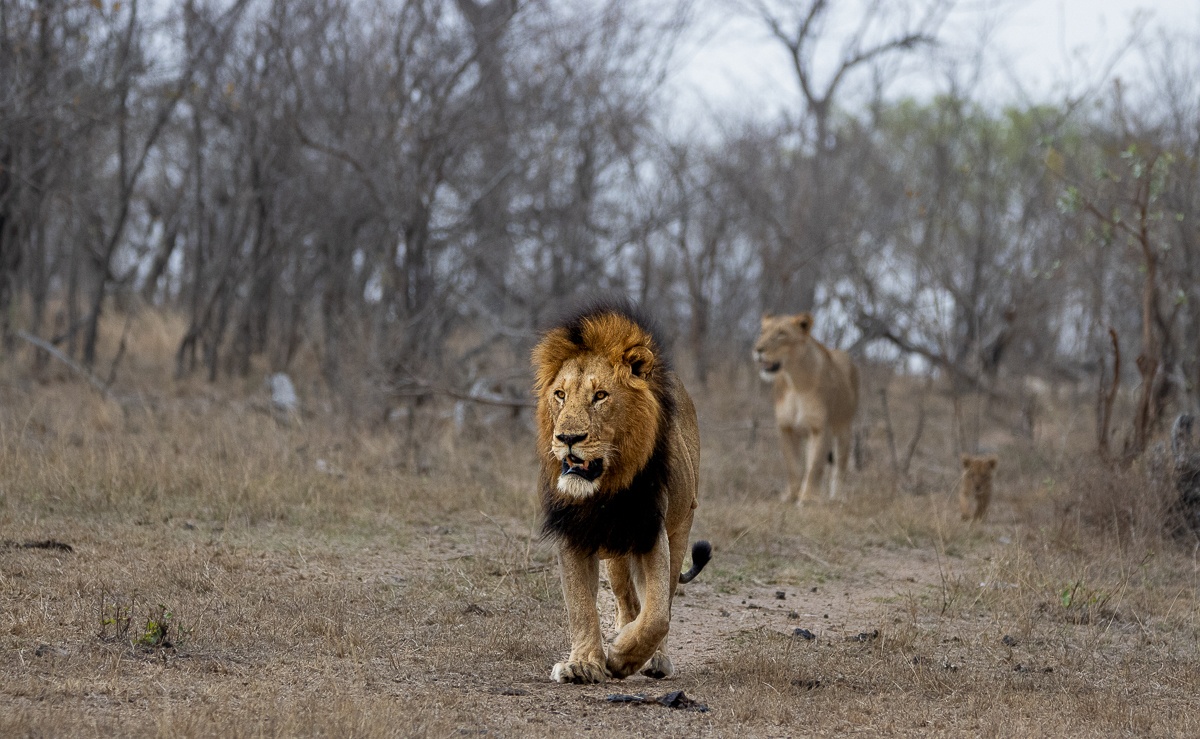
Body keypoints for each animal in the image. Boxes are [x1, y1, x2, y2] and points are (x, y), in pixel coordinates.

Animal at [532, 300, 711, 684]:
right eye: (560, 395)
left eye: (600, 396)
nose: (568, 438)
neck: (604, 493)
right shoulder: (574, 532)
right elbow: (581, 606)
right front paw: (584, 663)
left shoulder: (650, 531)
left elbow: (657, 615)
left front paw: (622, 656)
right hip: (615, 556)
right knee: (627, 601)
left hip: (679, 528)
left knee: (662, 601)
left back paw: (654, 658)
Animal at [752, 312, 860, 504]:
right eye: (763, 331)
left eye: (781, 334)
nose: (758, 349)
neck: (795, 381)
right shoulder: (786, 428)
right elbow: (793, 466)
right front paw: (792, 495)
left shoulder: (821, 428)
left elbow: (815, 466)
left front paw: (808, 498)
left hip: (844, 429)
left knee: (839, 467)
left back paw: (836, 497)